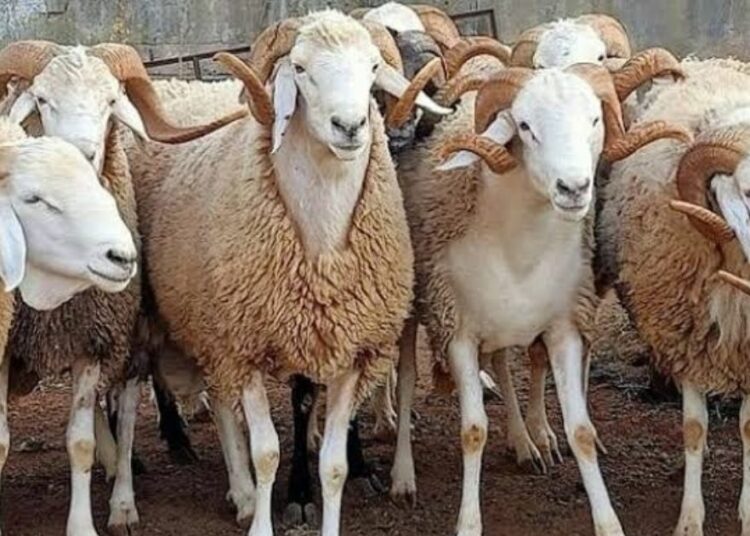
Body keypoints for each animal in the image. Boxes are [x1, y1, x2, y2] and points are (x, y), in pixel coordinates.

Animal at [0, 115, 139, 535]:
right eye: (34, 200)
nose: (122, 256)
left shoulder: (89, 344)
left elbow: (80, 443)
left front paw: (82, 525)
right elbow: (1, 441)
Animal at [127, 10, 450, 536]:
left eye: (373, 66)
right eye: (299, 68)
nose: (351, 125)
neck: (323, 252)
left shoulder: (348, 346)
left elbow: (334, 460)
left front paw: (343, 482)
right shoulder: (247, 343)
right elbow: (267, 452)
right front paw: (281, 504)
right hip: (191, 316)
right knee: (201, 397)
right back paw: (222, 478)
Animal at [394, 51, 690, 535]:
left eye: (594, 119)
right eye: (525, 126)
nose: (574, 188)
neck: (518, 245)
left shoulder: (563, 327)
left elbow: (582, 431)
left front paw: (607, 521)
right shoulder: (457, 331)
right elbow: (472, 430)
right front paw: (468, 522)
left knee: (502, 366)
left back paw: (523, 442)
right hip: (413, 303)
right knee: (404, 380)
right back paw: (402, 474)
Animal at [598, 56, 750, 536]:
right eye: (748, 191)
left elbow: (748, 429)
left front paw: (747, 512)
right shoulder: (686, 339)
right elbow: (694, 429)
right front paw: (689, 518)